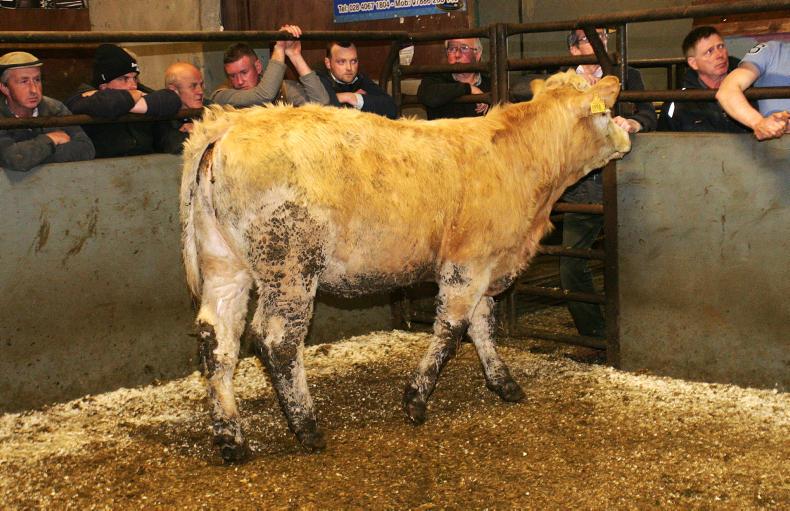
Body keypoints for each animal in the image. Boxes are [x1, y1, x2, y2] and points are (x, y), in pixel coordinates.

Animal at [180, 70, 631, 462]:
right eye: (604, 110)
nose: (627, 133)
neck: (519, 157)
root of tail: (229, 123)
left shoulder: (488, 264)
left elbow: (482, 326)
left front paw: (504, 383)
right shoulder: (466, 265)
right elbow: (452, 329)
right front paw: (415, 399)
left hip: (224, 265)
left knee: (217, 339)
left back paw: (231, 439)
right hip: (290, 266)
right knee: (277, 340)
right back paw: (307, 427)